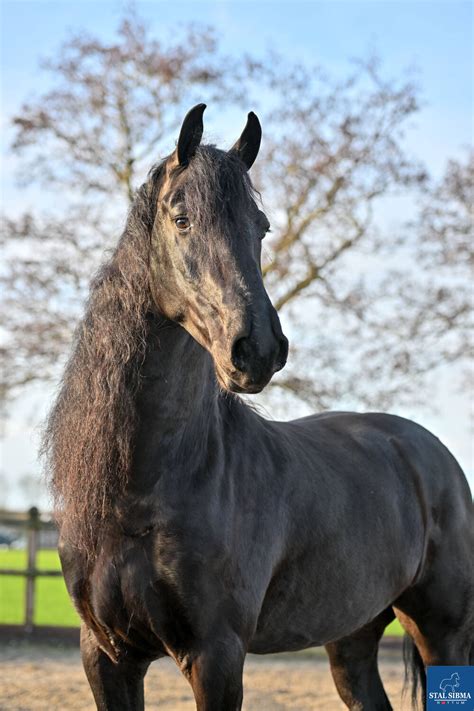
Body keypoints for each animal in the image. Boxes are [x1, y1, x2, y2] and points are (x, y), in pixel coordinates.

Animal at [42, 103, 472, 708]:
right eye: (181, 219)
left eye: (261, 227)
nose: (259, 349)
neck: (144, 489)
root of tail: (429, 451)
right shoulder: (106, 656)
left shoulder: (216, 655)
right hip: (352, 637)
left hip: (442, 633)